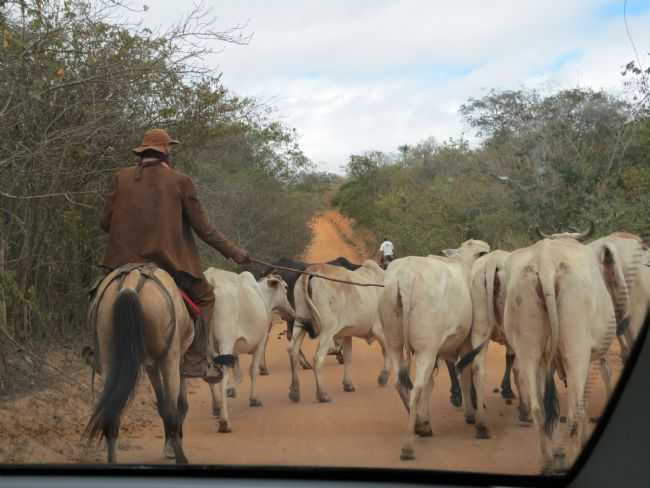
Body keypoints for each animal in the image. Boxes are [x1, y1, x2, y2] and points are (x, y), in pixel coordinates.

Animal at [82, 264, 192, 464]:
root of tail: (130, 284)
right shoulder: (170, 361)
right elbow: (177, 405)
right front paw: (172, 447)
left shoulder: (151, 365)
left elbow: (163, 405)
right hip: (169, 359)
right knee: (173, 409)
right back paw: (181, 458)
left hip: (110, 355)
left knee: (112, 414)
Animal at [204, 268, 294, 432]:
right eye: (285, 287)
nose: (292, 313)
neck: (262, 296)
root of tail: (212, 281)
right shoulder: (261, 342)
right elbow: (253, 371)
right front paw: (253, 399)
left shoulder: (234, 352)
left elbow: (238, 375)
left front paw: (232, 391)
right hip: (225, 341)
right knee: (223, 377)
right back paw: (224, 421)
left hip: (206, 346)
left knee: (211, 377)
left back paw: (217, 407)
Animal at [290, 262, 390, 402]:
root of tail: (312, 270)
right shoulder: (380, 330)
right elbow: (387, 352)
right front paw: (383, 378)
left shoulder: (347, 334)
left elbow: (348, 358)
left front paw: (348, 385)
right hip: (327, 329)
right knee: (318, 358)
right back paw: (322, 394)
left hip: (300, 322)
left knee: (293, 352)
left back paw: (294, 392)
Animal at [378, 240, 488, 462]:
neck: (465, 264)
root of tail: (406, 277)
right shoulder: (463, 343)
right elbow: (464, 376)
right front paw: (471, 415)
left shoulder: (437, 350)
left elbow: (431, 384)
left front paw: (427, 419)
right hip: (425, 349)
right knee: (416, 389)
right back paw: (408, 446)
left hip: (395, 342)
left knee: (401, 383)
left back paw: (420, 425)